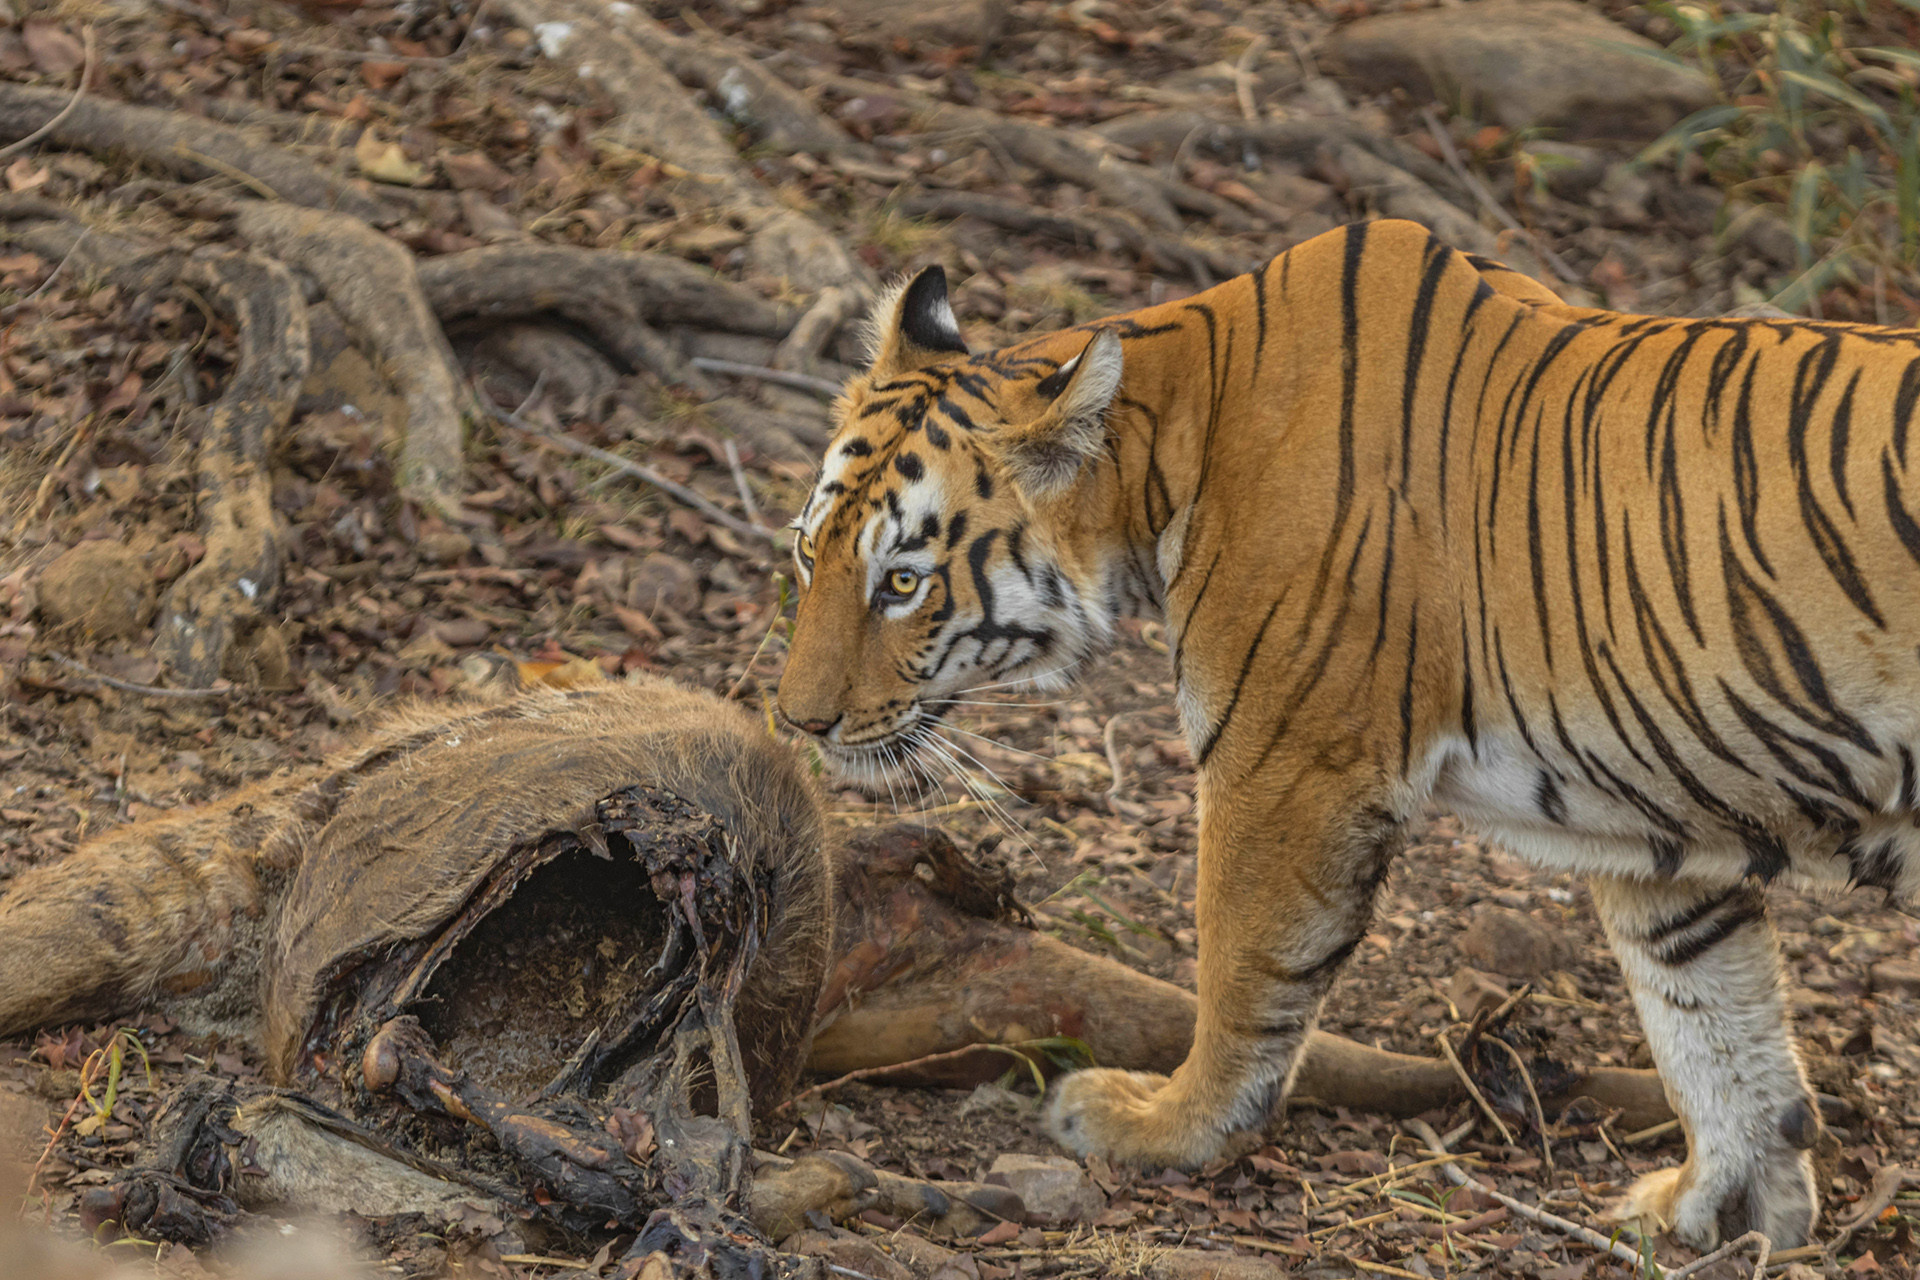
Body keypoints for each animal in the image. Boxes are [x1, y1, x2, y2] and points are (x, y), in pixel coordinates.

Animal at [773, 218, 1920, 1251]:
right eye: (806, 552)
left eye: (902, 582)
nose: (795, 719)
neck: (1177, 438)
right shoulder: (1657, 814)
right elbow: (1711, 1021)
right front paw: (1724, 1209)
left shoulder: (1285, 764)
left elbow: (1243, 971)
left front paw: (1163, 1126)